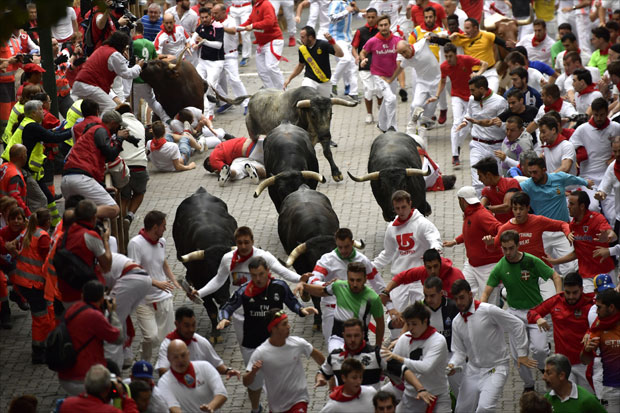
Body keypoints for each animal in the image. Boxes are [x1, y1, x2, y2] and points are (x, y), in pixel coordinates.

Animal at [172, 187, 237, 342]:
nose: (222, 297)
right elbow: (211, 310)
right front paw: (215, 333)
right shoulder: (200, 284)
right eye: (209, 271)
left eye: (227, 272)